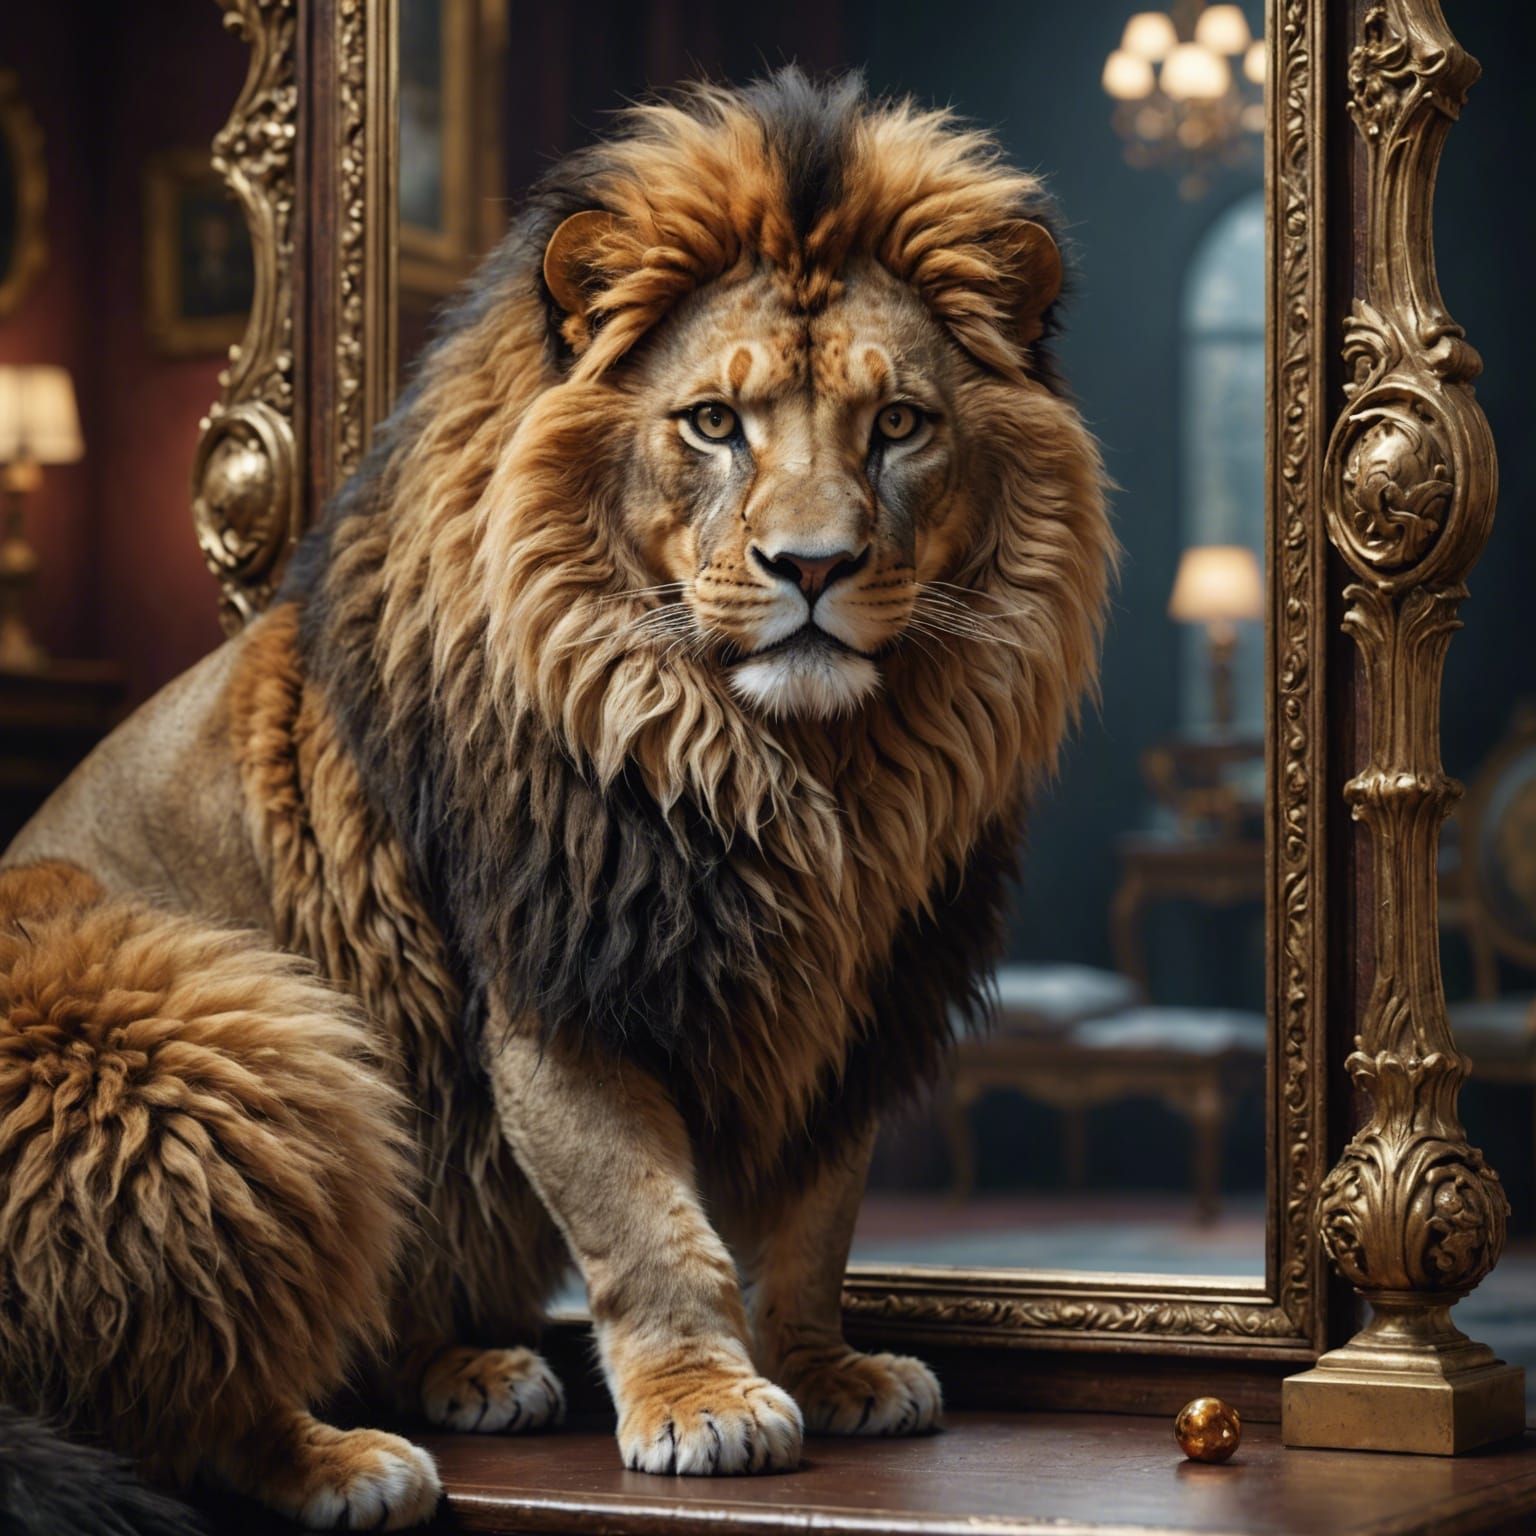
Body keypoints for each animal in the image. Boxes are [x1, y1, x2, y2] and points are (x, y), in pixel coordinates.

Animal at [0, 70, 1111, 1530]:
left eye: (899, 425)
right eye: (714, 423)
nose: (813, 565)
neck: (802, 773)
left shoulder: (853, 996)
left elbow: (817, 1218)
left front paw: (824, 1367)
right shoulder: (560, 986)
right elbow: (643, 1221)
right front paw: (704, 1403)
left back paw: (468, 1368)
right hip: (198, 1024)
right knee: (174, 1398)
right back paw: (350, 1463)